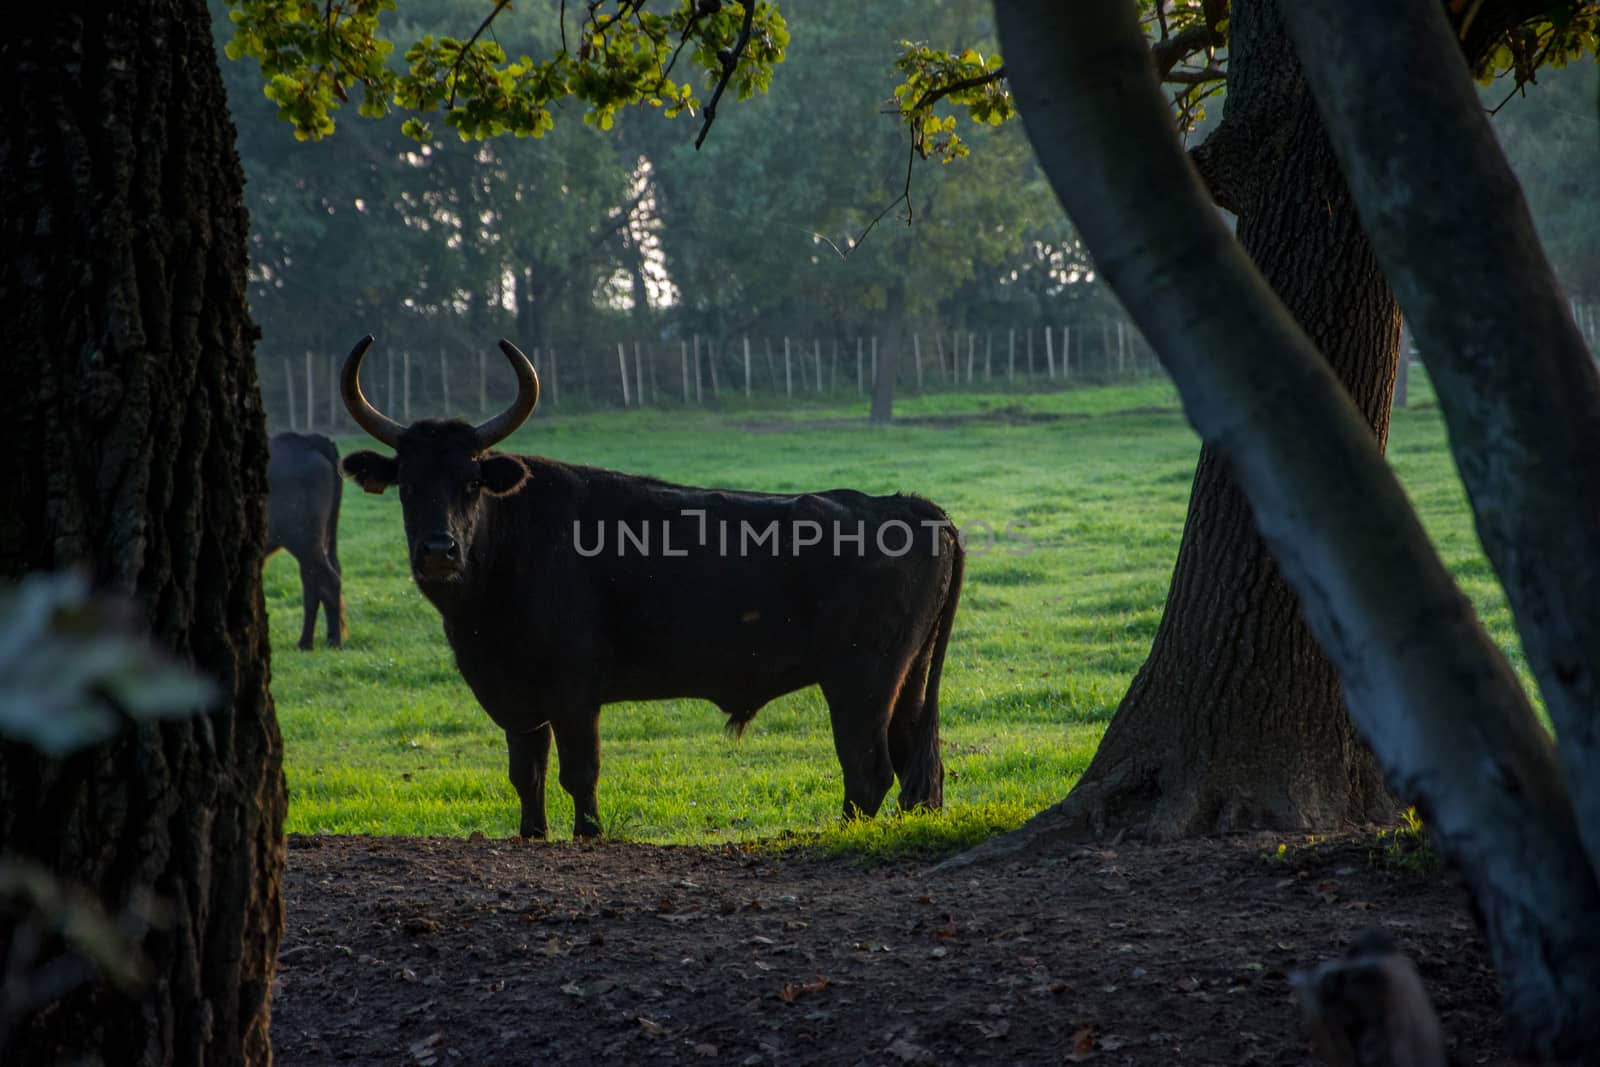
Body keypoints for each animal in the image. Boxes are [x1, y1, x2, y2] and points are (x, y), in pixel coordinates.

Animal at [267, 431, 348, 652]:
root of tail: (305, 439)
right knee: (314, 584)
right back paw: (306, 642)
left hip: (303, 540)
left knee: (327, 582)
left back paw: (333, 642)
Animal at [337, 337, 960, 838]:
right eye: (407, 485)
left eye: (471, 483)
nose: (438, 552)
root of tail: (910, 507)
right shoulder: (517, 698)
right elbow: (526, 775)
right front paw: (532, 835)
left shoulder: (575, 690)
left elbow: (579, 773)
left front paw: (588, 834)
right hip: (907, 680)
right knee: (915, 769)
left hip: (860, 680)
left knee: (868, 769)